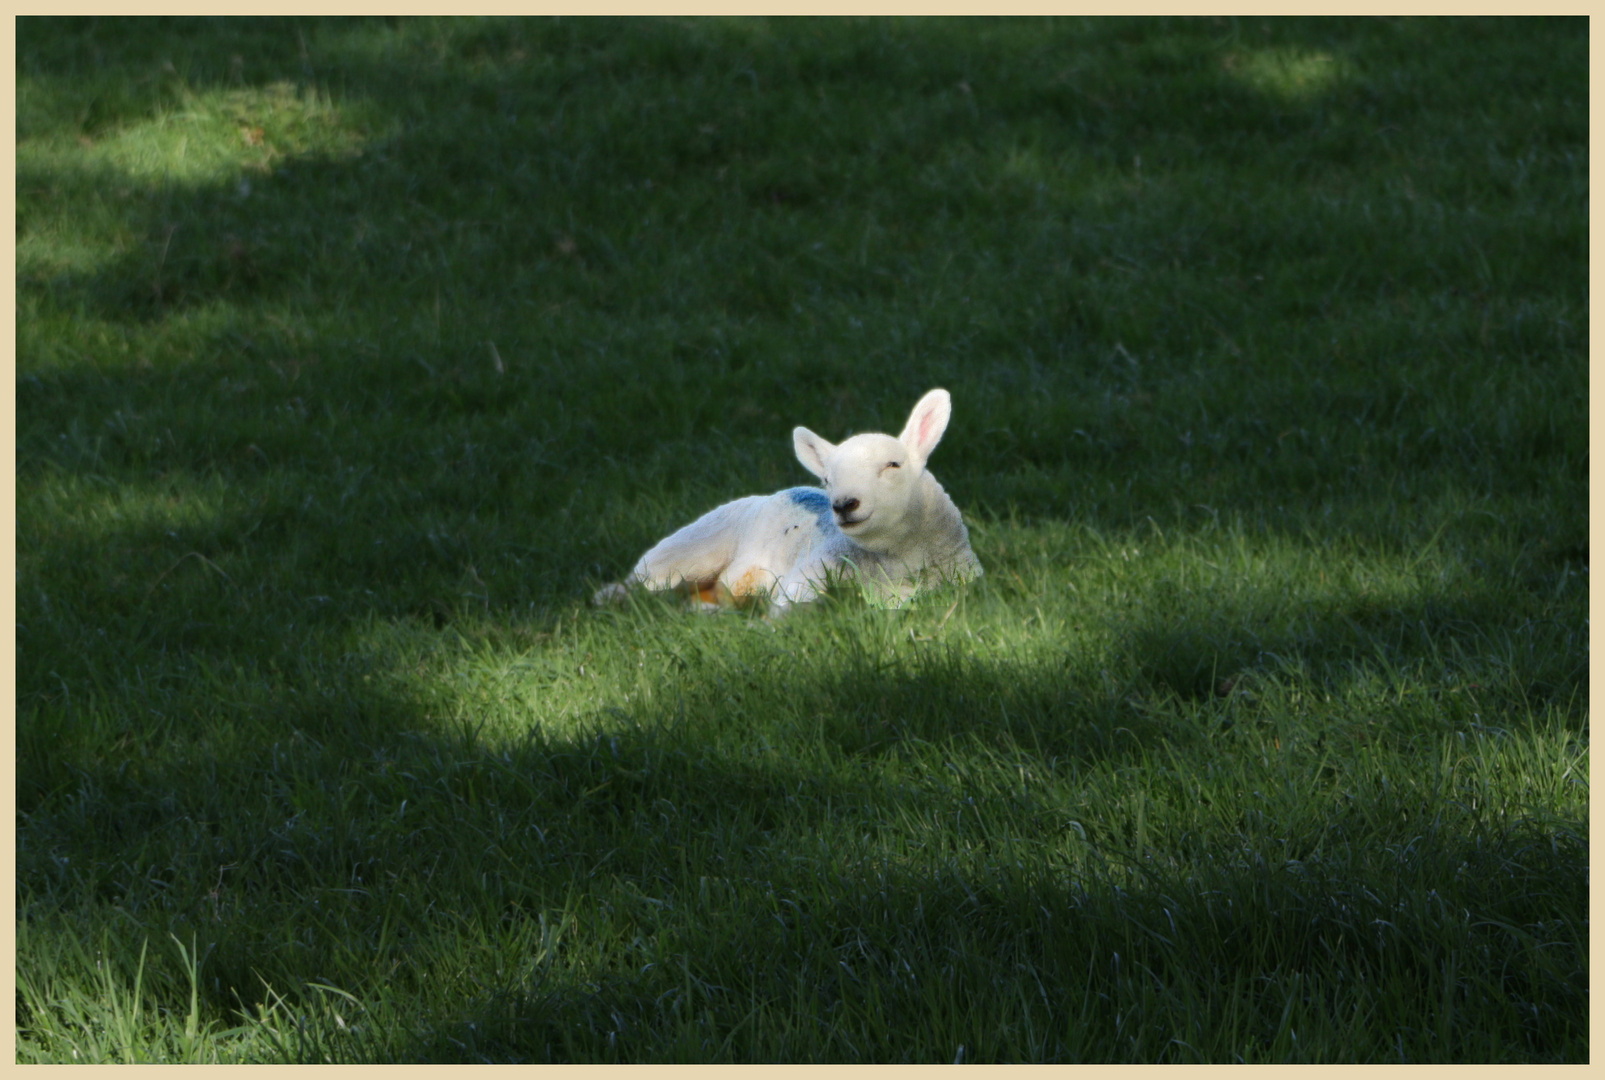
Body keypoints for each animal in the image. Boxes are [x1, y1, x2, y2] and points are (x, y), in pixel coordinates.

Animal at [597, 388, 982, 609]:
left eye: (893, 465)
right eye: (827, 479)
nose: (844, 504)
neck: (900, 559)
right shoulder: (808, 579)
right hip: (690, 548)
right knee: (643, 582)